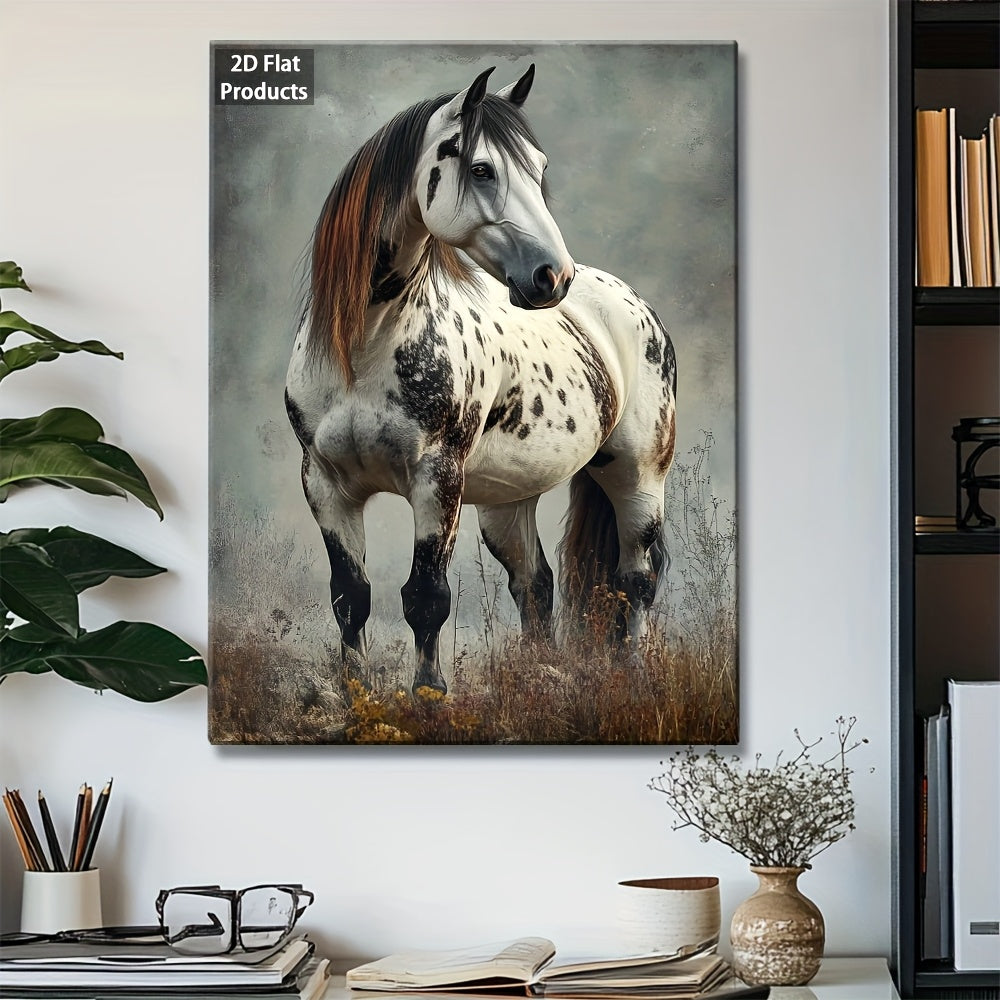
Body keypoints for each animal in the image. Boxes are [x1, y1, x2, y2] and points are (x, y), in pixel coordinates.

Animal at [285, 65, 677, 695]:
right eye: (481, 168)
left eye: (539, 168)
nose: (553, 276)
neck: (364, 348)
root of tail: (629, 301)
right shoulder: (326, 483)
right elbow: (351, 596)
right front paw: (354, 693)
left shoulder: (437, 479)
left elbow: (425, 597)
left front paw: (429, 693)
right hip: (507, 500)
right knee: (534, 584)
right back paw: (539, 675)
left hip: (638, 475)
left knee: (636, 580)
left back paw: (632, 675)